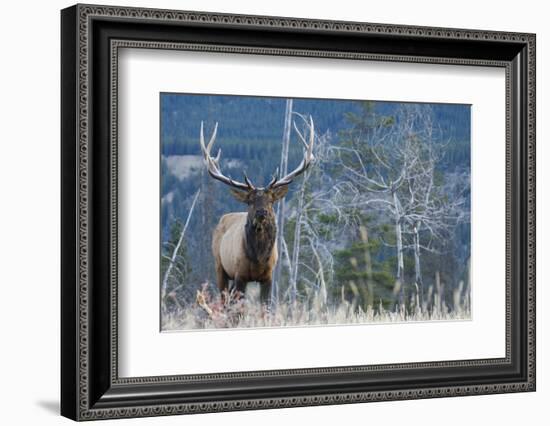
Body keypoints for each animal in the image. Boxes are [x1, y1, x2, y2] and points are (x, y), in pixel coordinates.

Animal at [201, 116, 316, 306]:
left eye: (271, 200)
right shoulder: (240, 274)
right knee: (224, 300)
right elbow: (239, 309)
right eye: (250, 201)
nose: (262, 213)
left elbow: (266, 308)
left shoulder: (268, 276)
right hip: (219, 265)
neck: (259, 259)